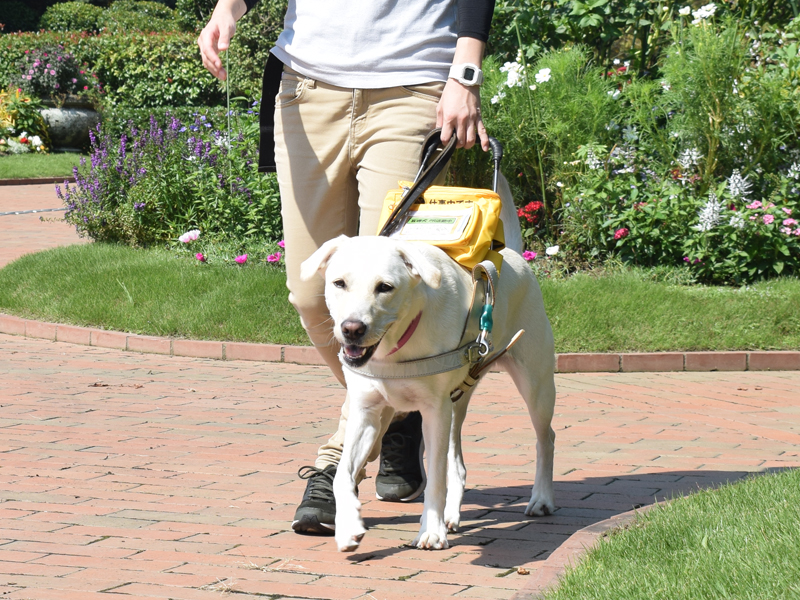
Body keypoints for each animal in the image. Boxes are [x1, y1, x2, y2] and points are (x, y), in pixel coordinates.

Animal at [300, 178, 556, 552]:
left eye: (385, 287)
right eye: (339, 283)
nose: (352, 328)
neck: (396, 348)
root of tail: (512, 256)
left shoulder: (433, 410)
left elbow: (434, 477)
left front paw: (430, 532)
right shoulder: (366, 411)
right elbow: (343, 474)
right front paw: (348, 527)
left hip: (534, 384)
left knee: (545, 437)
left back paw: (541, 498)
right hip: (456, 402)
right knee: (457, 464)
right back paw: (451, 515)